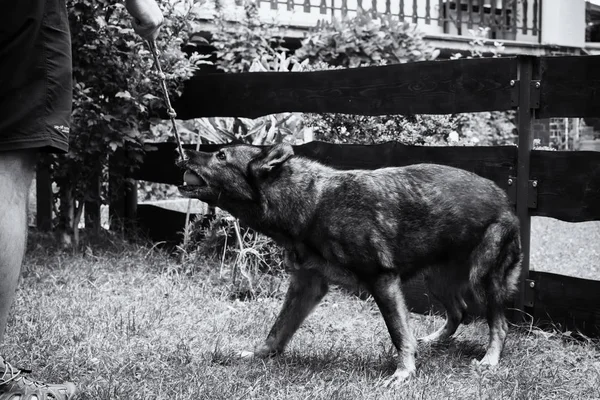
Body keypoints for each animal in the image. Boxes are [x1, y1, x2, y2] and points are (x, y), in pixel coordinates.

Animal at [178, 144, 520, 384]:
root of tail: (505, 198)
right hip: (437, 280)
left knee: (499, 324)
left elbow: (399, 333)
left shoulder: (382, 280)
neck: (311, 204)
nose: (181, 154)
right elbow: (278, 330)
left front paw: (404, 372)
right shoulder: (307, 285)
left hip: (482, 278)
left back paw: (490, 360)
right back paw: (436, 340)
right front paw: (260, 356)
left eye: (221, 155)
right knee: (459, 311)